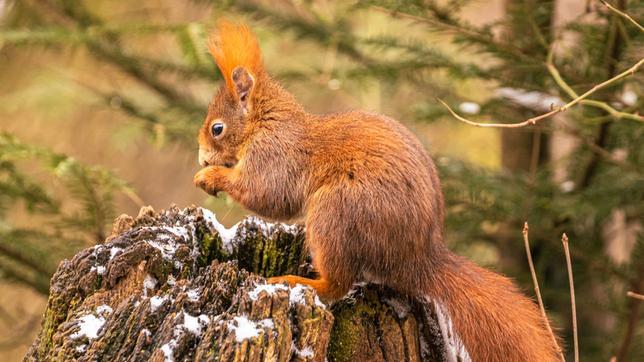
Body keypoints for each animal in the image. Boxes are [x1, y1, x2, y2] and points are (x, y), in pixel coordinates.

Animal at [194, 20, 560, 362]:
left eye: (217, 128)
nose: (201, 156)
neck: (264, 123)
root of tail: (417, 259)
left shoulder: (273, 156)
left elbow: (265, 194)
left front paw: (209, 176)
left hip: (335, 214)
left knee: (338, 285)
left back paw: (300, 282)